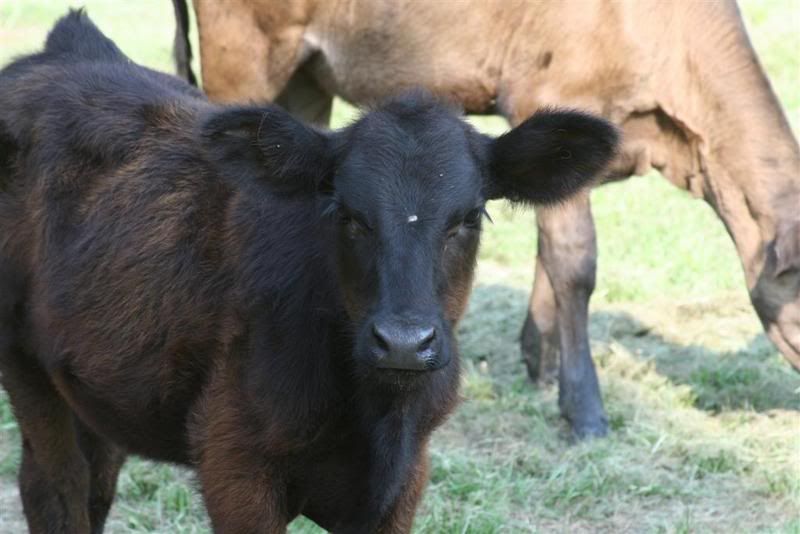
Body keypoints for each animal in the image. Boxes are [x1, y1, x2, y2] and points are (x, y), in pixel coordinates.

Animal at [0, 11, 618, 533]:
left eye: (469, 217)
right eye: (346, 213)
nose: (403, 342)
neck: (375, 415)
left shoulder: (404, 483)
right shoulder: (234, 466)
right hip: (24, 361)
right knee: (55, 487)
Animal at [172, 0, 800, 439]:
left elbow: (551, 252)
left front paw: (539, 361)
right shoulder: (548, 92)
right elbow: (577, 263)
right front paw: (585, 410)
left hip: (307, 81)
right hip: (244, 53)